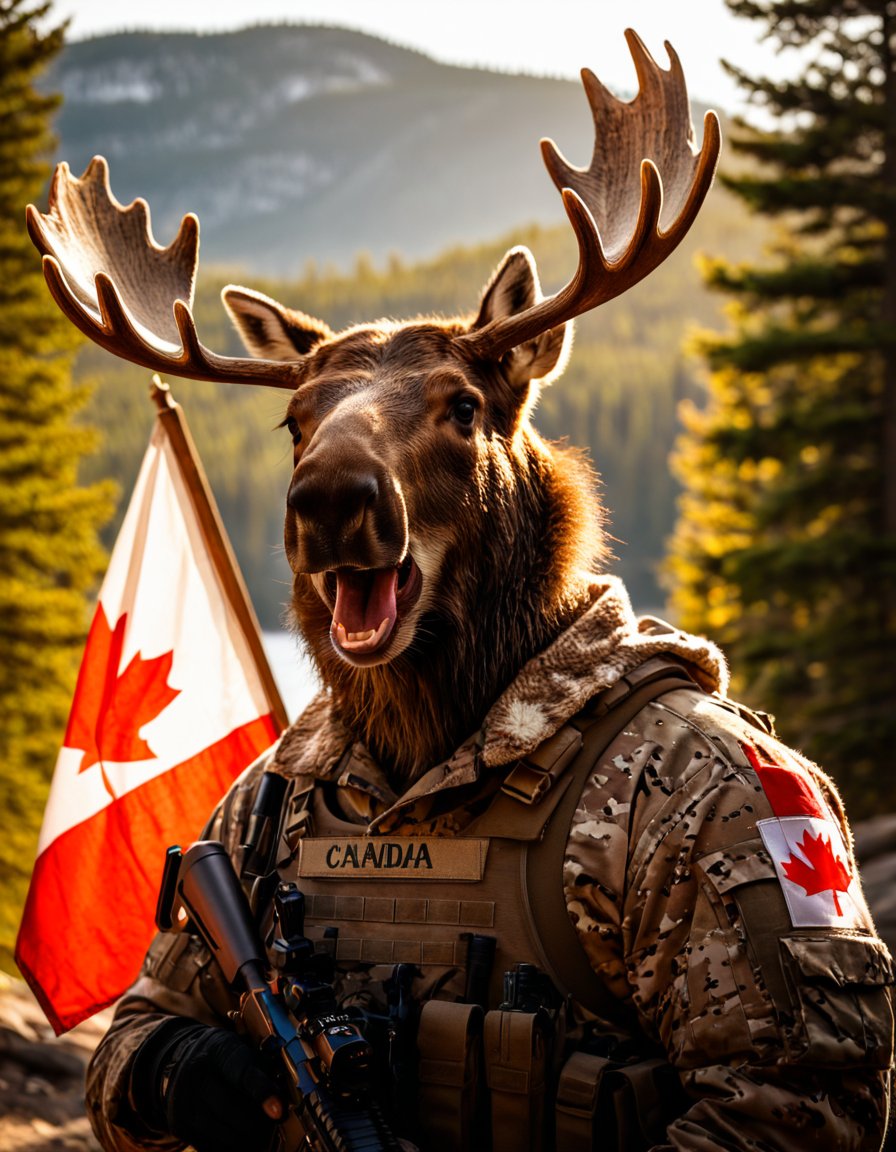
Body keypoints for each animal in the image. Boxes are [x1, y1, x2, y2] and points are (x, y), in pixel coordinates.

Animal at [26, 27, 884, 1152]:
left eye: (462, 405)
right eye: (295, 419)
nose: (329, 497)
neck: (426, 735)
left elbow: (764, 1073)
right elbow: (142, 1021)